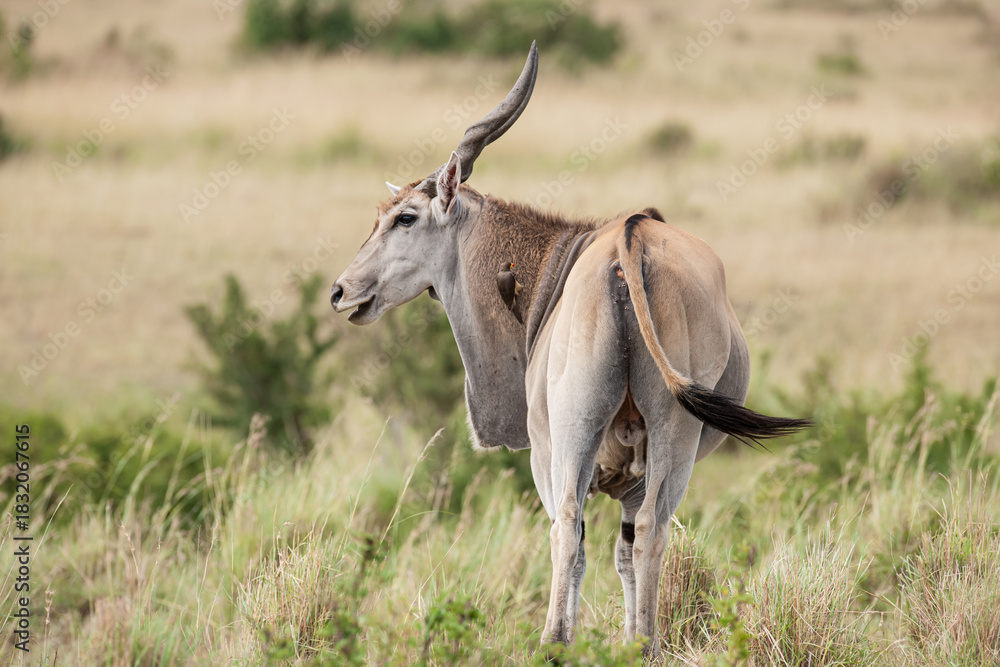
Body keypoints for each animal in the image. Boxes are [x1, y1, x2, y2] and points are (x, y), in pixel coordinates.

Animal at [331, 42, 810, 656]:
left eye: (405, 218)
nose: (342, 291)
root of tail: (631, 245)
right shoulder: (633, 476)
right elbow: (625, 551)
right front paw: (629, 641)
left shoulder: (545, 449)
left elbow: (578, 537)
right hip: (671, 433)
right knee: (650, 530)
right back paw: (646, 645)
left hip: (571, 435)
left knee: (566, 526)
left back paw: (553, 641)